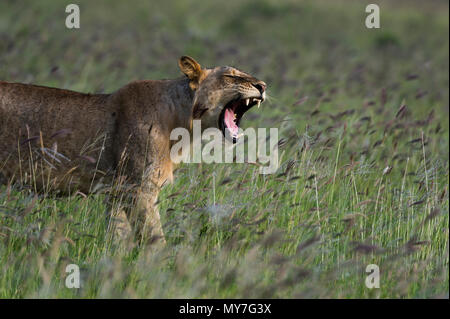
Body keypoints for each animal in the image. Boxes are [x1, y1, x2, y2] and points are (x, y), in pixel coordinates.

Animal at [0, 56, 268, 245]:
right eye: (231, 76)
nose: (263, 85)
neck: (182, 121)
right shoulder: (138, 189)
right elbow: (155, 239)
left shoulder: (116, 191)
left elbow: (118, 236)